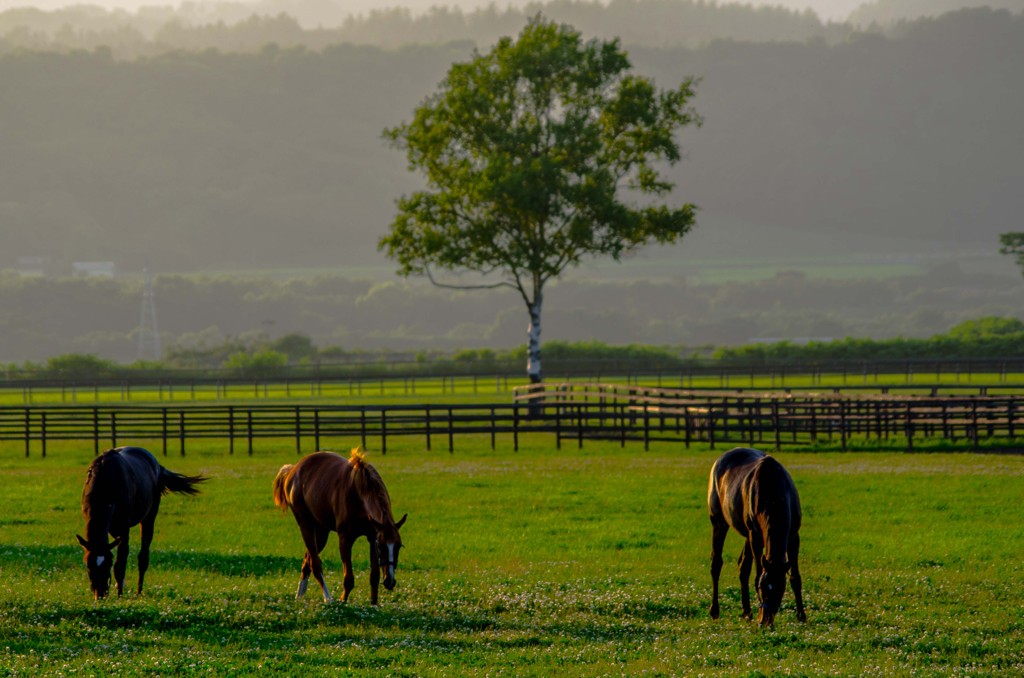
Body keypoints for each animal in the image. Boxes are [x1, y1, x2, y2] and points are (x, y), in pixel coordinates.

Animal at [76, 450, 205, 602]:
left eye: (108, 564)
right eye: (88, 566)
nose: (100, 594)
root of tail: (158, 466)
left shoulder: (123, 530)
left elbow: (120, 565)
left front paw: (120, 595)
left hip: (148, 519)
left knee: (143, 557)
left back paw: (138, 592)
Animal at [274, 450, 405, 606]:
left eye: (398, 546)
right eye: (382, 547)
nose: (390, 581)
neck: (359, 491)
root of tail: (292, 470)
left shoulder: (372, 537)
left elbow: (374, 576)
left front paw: (374, 604)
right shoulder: (345, 539)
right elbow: (348, 578)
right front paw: (343, 601)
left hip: (321, 532)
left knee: (307, 562)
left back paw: (299, 596)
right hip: (306, 525)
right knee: (315, 564)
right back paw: (328, 598)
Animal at [708, 448, 802, 630]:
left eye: (780, 589)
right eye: (761, 589)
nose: (765, 620)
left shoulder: (794, 537)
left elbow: (795, 577)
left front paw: (802, 616)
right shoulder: (756, 536)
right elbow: (758, 573)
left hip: (746, 533)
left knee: (742, 565)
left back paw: (746, 612)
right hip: (719, 523)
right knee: (716, 564)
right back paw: (715, 611)